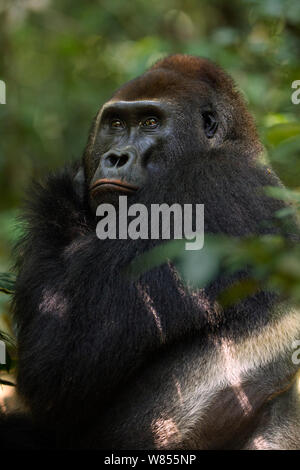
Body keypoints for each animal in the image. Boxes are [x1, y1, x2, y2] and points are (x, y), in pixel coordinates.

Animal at [1, 53, 300, 450]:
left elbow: (56, 365)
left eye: (150, 123)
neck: (232, 146)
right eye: (115, 124)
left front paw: (65, 186)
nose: (115, 157)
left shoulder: (201, 189)